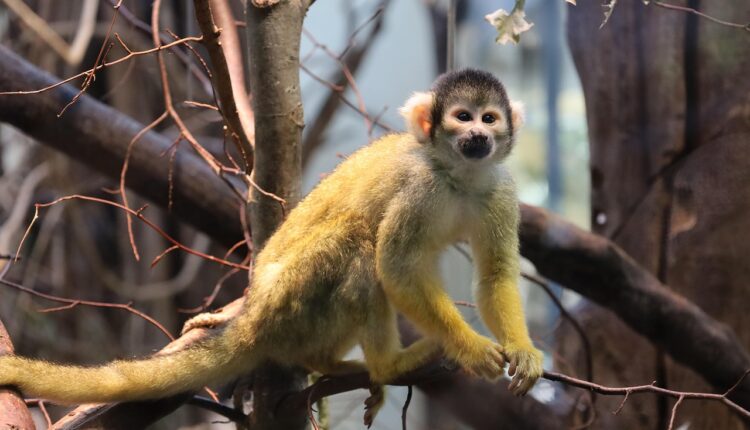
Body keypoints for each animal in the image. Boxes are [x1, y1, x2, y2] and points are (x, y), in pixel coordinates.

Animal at [0, 69, 543, 426]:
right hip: (293, 301)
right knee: (359, 241)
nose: (477, 135)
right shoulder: (419, 187)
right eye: (462, 117)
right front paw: (470, 348)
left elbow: (495, 272)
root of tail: (255, 314)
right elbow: (396, 265)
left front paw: (524, 351)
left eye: (489, 118)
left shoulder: (499, 189)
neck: (457, 175)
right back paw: (389, 365)